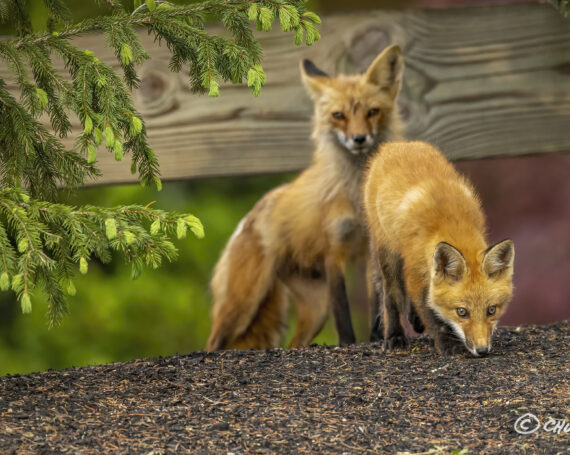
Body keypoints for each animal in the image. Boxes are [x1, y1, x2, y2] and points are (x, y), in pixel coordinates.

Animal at [205, 45, 404, 352]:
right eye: (338, 115)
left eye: (373, 112)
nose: (359, 139)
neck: (355, 192)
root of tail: (248, 218)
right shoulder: (334, 250)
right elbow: (343, 314)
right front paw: (348, 344)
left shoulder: (371, 249)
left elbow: (377, 306)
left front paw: (376, 339)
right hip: (243, 304)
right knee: (213, 342)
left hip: (315, 308)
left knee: (294, 344)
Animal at [364, 142, 516, 356]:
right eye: (462, 312)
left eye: (491, 310)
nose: (482, 350)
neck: (452, 223)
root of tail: (396, 144)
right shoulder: (414, 274)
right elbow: (430, 313)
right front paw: (446, 343)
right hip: (387, 251)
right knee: (391, 296)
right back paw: (394, 335)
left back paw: (414, 320)